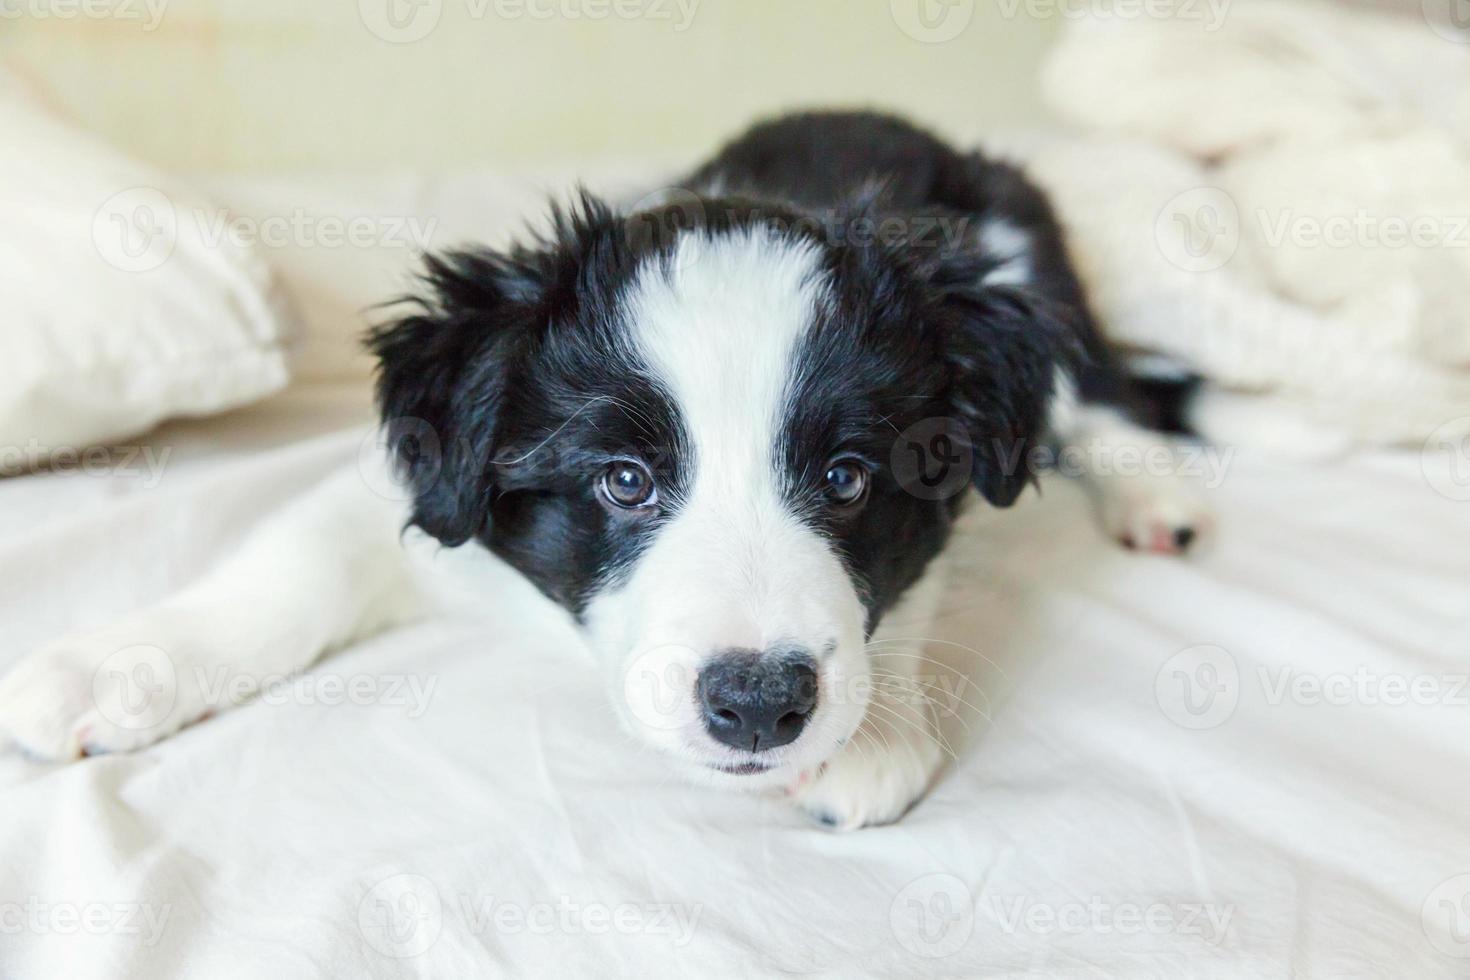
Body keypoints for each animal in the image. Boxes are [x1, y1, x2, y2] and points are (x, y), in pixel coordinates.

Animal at [0, 110, 1205, 834]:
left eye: (849, 479)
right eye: (626, 481)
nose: (759, 706)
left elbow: (911, 580)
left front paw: (873, 732)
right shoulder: (436, 493)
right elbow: (293, 567)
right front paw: (116, 665)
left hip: (1029, 244)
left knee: (1095, 389)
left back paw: (1158, 494)